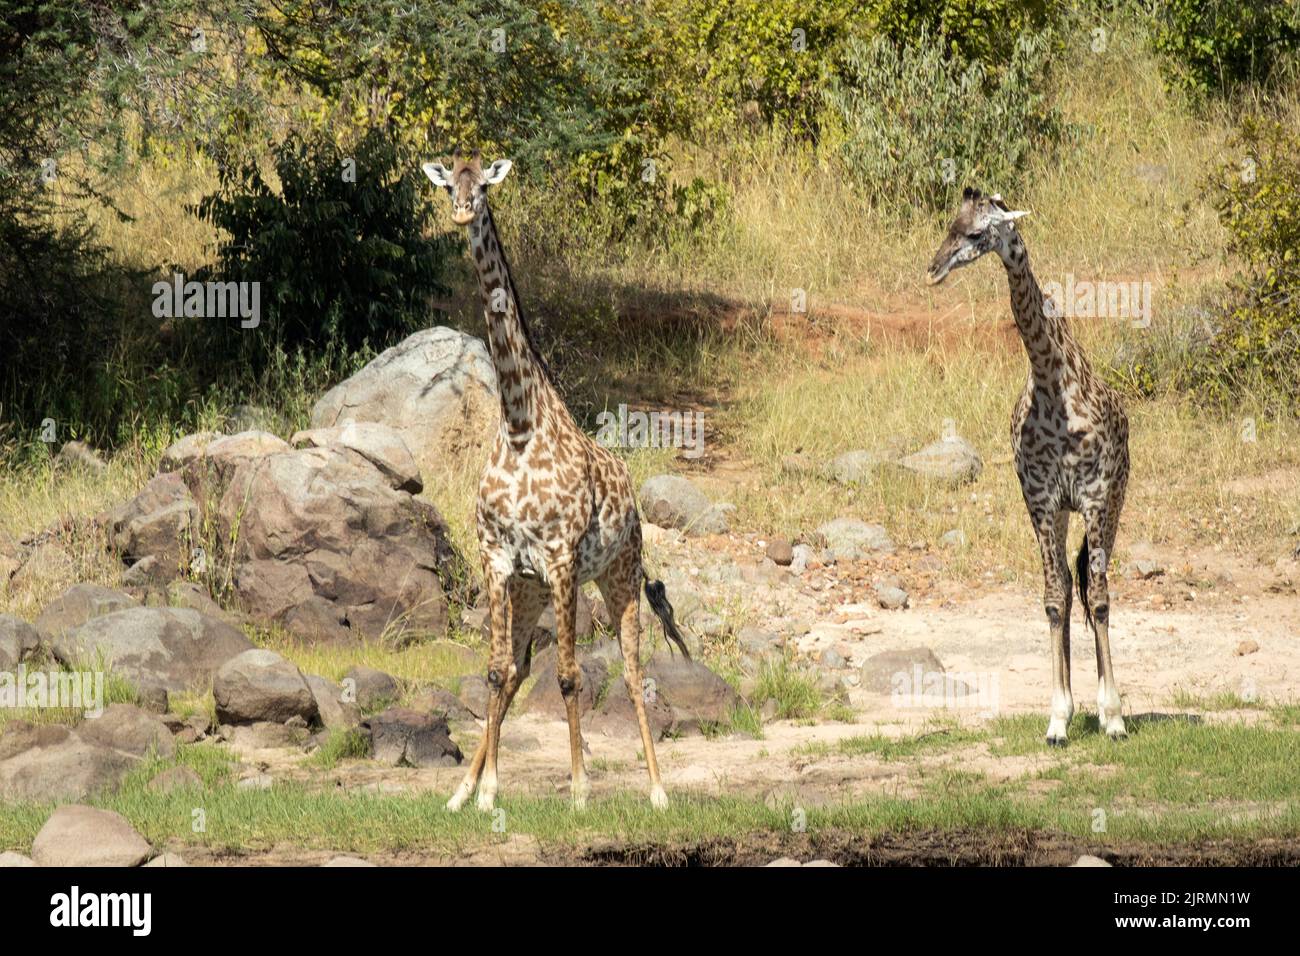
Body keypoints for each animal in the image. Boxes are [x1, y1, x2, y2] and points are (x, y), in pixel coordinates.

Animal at [423, 153, 691, 811]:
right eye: (448, 183)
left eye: (484, 185)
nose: (462, 211)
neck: (520, 423)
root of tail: (637, 505)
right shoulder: (499, 560)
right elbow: (496, 672)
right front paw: (482, 793)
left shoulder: (564, 557)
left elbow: (569, 677)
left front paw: (578, 791)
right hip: (532, 590)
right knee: (517, 670)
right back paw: (464, 791)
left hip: (617, 576)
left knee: (632, 671)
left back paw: (658, 791)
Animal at [925, 187, 1128, 749]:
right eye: (949, 225)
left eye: (977, 233)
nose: (933, 269)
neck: (1051, 381)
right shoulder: (1039, 499)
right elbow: (1054, 598)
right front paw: (1058, 718)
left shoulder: (1095, 495)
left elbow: (1099, 597)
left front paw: (1113, 716)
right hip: (1060, 513)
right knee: (1067, 587)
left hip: (1115, 503)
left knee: (1095, 590)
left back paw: (1106, 711)